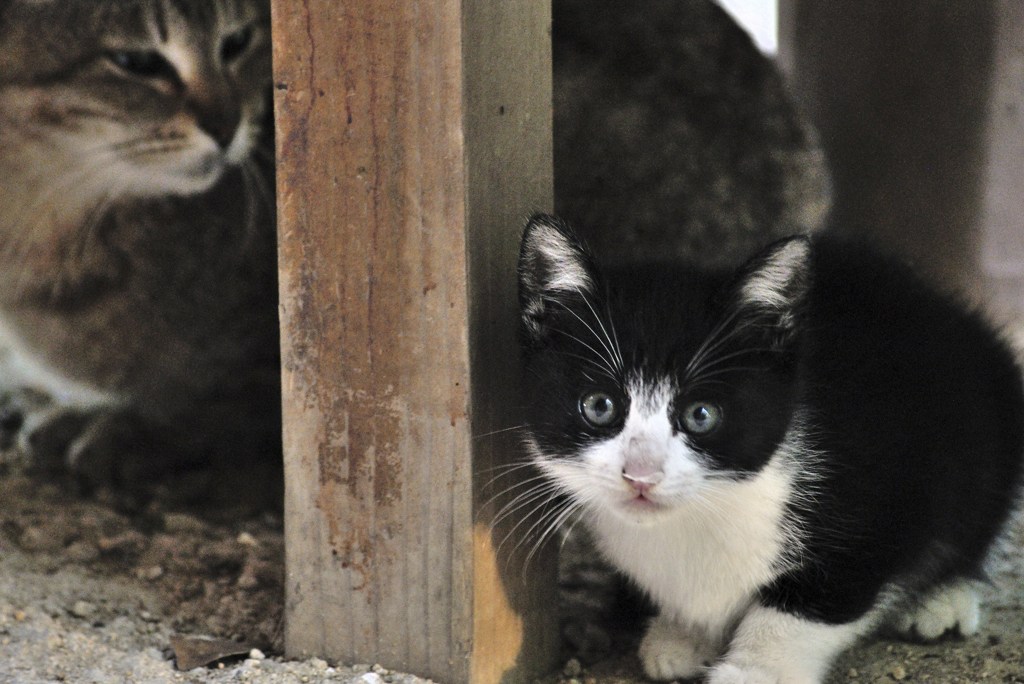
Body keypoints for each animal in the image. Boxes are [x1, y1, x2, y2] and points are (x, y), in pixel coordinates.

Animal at [520, 215, 1024, 684]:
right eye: (599, 406)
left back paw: (944, 600)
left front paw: (756, 668)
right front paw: (681, 633)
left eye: (702, 414)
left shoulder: (883, 484)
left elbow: (818, 599)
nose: (641, 475)